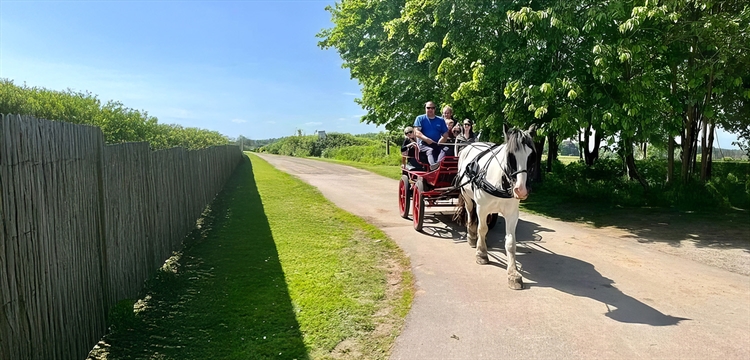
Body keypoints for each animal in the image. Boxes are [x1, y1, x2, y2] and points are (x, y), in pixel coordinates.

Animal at [456, 124, 536, 290]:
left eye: (531, 156)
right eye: (510, 155)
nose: (521, 190)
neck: (500, 181)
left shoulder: (512, 214)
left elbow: (511, 242)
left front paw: (513, 273)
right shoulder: (482, 208)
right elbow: (482, 228)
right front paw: (481, 253)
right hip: (467, 196)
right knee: (470, 213)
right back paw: (472, 236)